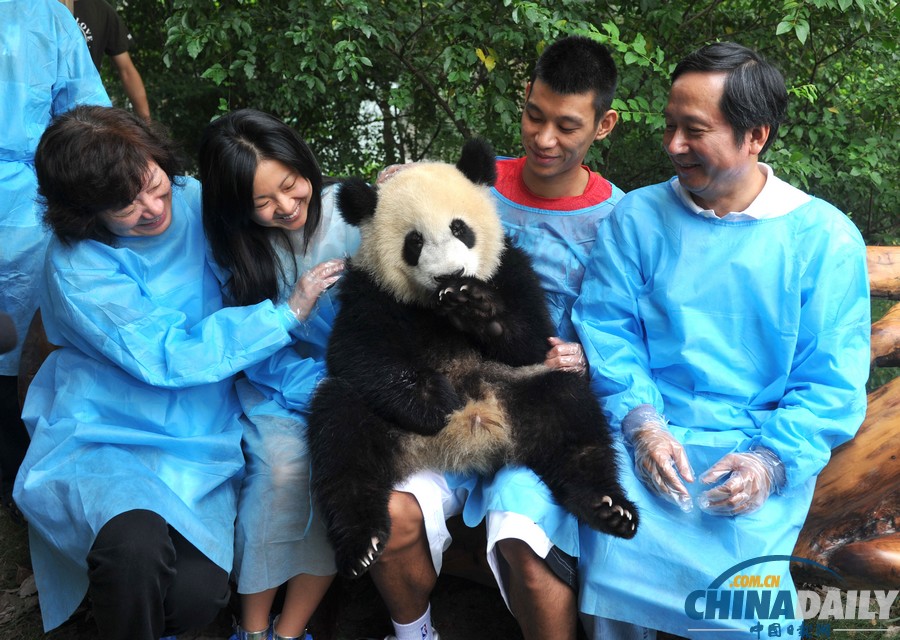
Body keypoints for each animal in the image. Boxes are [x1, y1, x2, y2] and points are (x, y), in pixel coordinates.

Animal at [310, 138, 640, 576]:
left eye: (459, 229)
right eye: (414, 242)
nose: (450, 275)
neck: (434, 306)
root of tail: (470, 439)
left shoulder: (509, 266)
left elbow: (534, 338)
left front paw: (477, 309)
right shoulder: (371, 290)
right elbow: (356, 351)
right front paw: (433, 401)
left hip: (518, 388)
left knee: (571, 414)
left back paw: (609, 508)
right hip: (383, 421)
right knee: (341, 435)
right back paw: (361, 543)